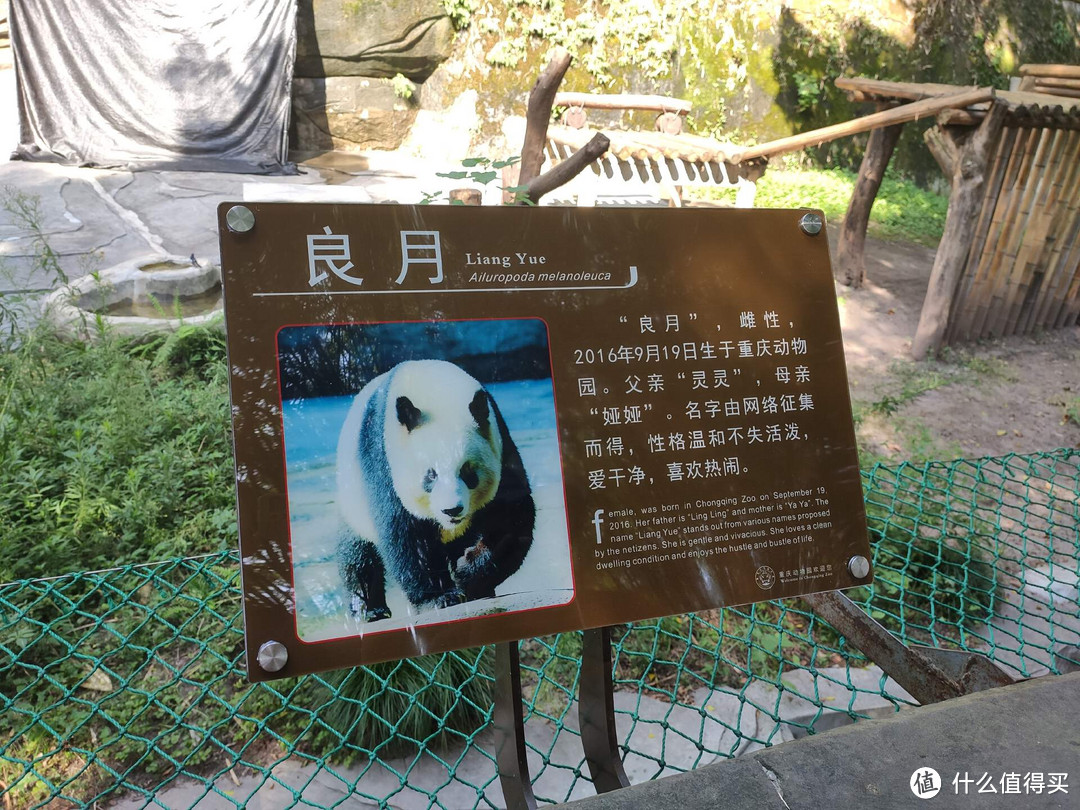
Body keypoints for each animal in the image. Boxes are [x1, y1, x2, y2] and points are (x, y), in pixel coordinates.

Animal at [334, 360, 533, 622]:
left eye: (467, 471)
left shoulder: (499, 440)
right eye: (431, 474)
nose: (452, 510)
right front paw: (439, 598)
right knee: (357, 554)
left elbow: (512, 516)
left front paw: (467, 573)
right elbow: (404, 532)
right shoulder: (383, 459)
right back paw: (369, 609)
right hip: (352, 499)